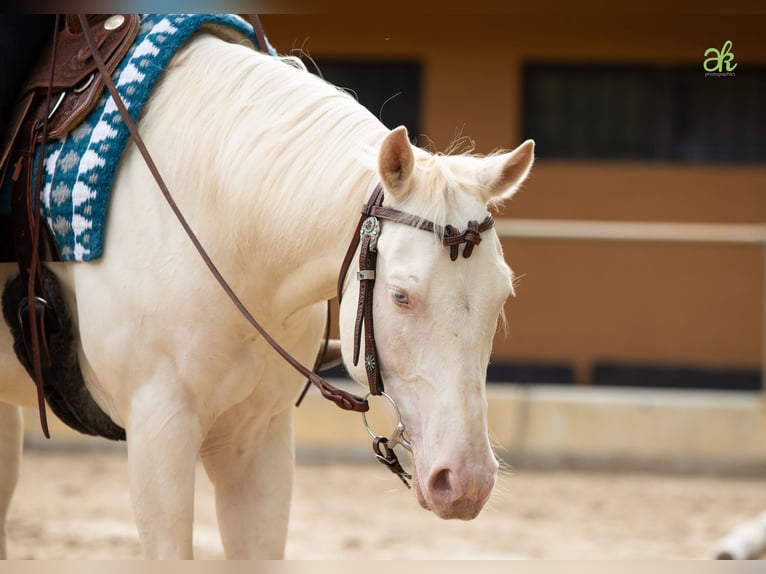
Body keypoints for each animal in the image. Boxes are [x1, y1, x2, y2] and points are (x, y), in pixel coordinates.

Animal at [0, 22, 534, 559]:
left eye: (502, 297)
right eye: (401, 296)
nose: (465, 482)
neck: (220, 220)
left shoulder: (258, 437)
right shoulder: (158, 432)